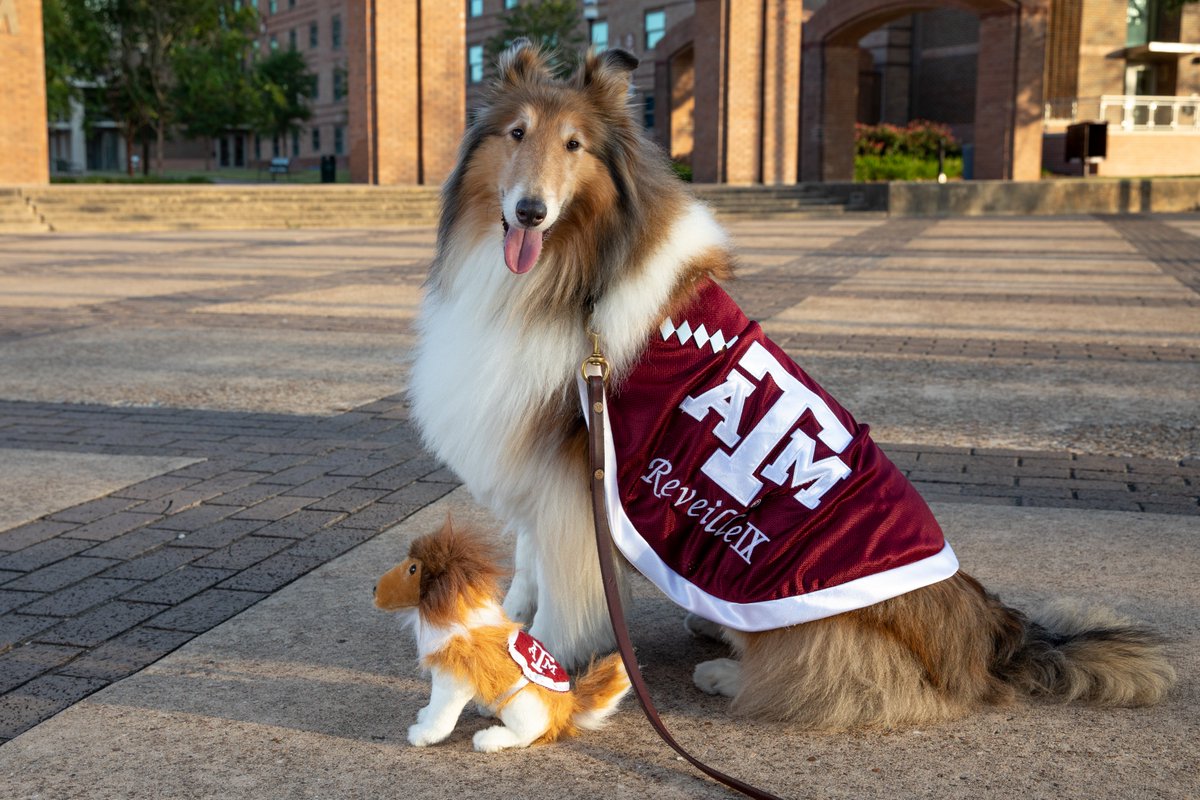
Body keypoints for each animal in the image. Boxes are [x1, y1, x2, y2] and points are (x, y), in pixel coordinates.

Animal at [376, 522, 633, 753]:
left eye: (413, 569)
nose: (374, 589)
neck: (455, 611)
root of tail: (568, 707)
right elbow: (433, 706)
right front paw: (424, 714)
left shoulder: (453, 682)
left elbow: (441, 716)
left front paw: (421, 735)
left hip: (522, 706)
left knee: (525, 735)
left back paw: (489, 739)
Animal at [408, 42, 1176, 734]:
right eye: (517, 133)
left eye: (575, 145)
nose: (530, 212)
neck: (571, 277)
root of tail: (985, 640)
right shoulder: (542, 464)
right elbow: (529, 567)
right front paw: (513, 629)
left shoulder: (575, 481)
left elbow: (564, 591)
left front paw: (543, 665)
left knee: (851, 684)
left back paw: (729, 672)